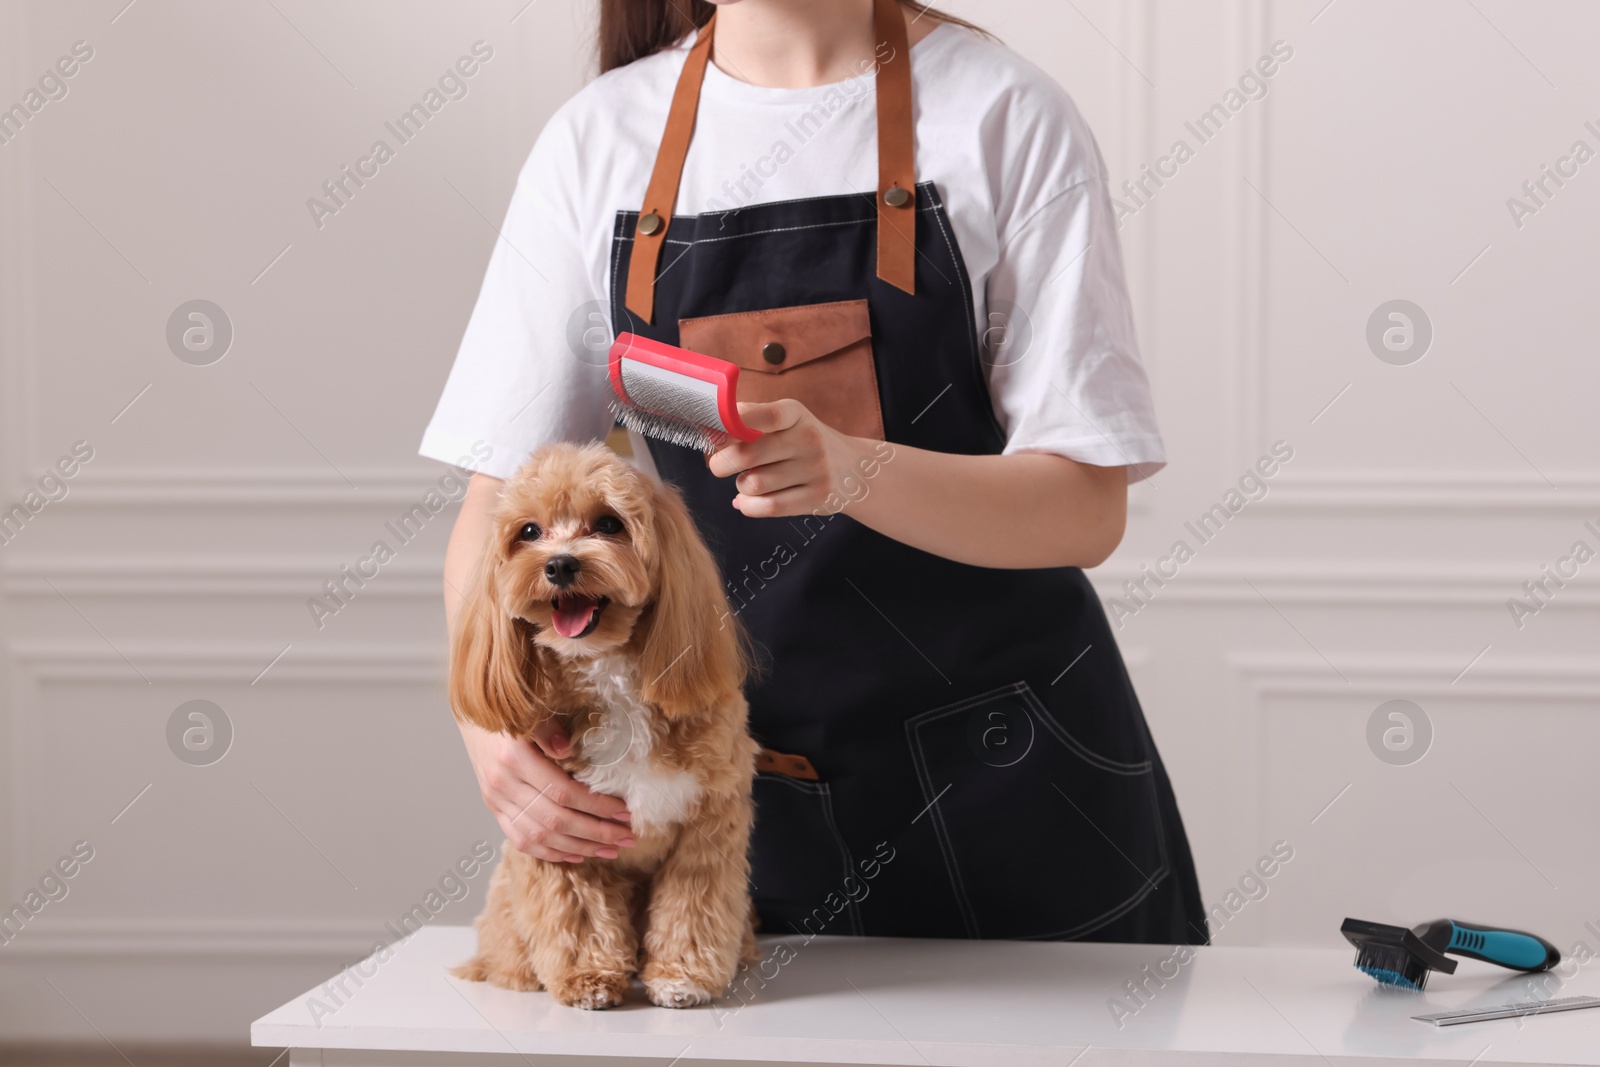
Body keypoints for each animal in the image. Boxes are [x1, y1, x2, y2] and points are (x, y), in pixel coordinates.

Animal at [444, 441, 755, 1011]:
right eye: (529, 531)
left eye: (609, 523)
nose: (560, 564)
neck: (611, 676)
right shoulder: (561, 836)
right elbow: (579, 910)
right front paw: (589, 977)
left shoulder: (708, 825)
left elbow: (693, 906)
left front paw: (682, 976)